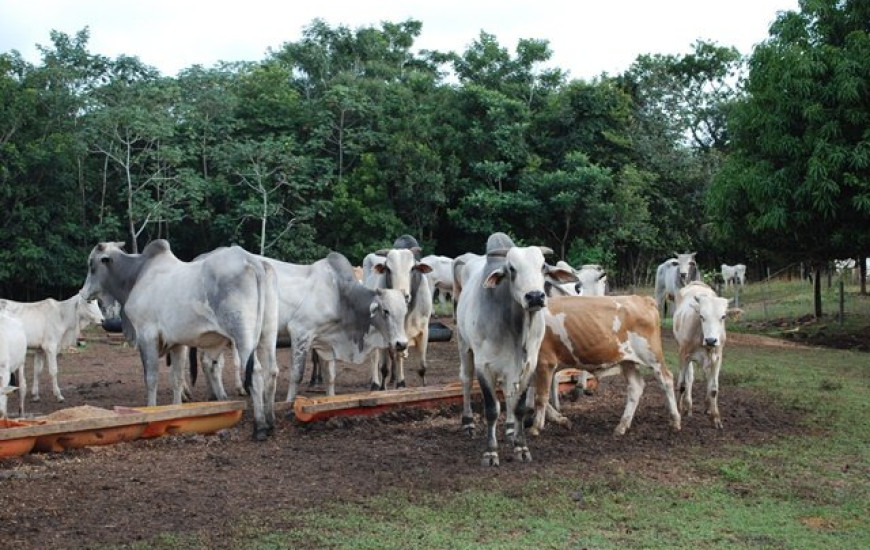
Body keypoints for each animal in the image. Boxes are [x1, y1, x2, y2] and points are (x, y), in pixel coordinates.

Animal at [79, 239, 280, 442]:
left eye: (91, 264)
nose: (82, 293)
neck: (137, 274)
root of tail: (252, 260)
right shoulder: (178, 343)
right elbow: (176, 379)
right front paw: (176, 411)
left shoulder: (147, 335)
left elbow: (151, 378)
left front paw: (151, 410)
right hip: (267, 333)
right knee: (271, 371)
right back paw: (270, 422)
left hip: (243, 334)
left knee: (255, 373)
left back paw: (260, 427)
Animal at [456, 233, 580, 470]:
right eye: (511, 268)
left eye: (543, 266)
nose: (535, 297)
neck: (515, 328)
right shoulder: (484, 366)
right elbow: (491, 409)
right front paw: (490, 453)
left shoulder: (528, 364)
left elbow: (520, 406)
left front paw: (521, 447)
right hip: (464, 346)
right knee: (466, 381)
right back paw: (467, 424)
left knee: (508, 393)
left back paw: (511, 428)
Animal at [532, 298, 680, 440]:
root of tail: (643, 299)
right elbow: (538, 396)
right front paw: (561, 420)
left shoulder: (544, 361)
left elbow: (541, 397)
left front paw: (536, 427)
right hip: (627, 361)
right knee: (636, 387)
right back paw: (622, 426)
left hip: (652, 356)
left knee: (666, 380)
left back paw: (675, 421)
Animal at [676, 284, 736, 432]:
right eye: (702, 316)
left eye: (723, 316)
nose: (711, 340)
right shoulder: (684, 355)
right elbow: (682, 384)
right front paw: (679, 411)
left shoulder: (717, 358)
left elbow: (713, 388)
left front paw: (716, 418)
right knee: (689, 378)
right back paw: (688, 406)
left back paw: (707, 406)